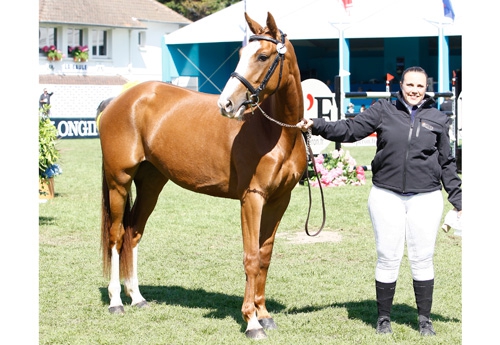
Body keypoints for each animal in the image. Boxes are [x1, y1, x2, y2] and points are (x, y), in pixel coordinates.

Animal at [98, 12, 304, 338]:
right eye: (240, 54)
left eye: (262, 56)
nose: (226, 104)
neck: (277, 133)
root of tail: (120, 100)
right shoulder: (252, 199)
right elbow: (251, 257)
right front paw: (251, 321)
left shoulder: (279, 200)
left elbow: (265, 256)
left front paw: (264, 314)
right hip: (119, 181)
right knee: (117, 236)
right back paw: (116, 301)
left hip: (151, 184)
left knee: (133, 233)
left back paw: (137, 297)